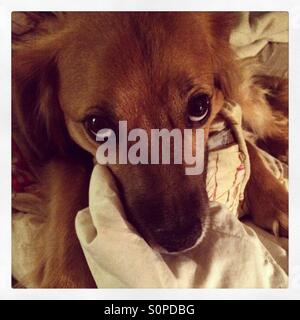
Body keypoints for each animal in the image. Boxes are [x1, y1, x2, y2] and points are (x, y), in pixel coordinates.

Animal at [11, 11, 288, 288]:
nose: (182, 238)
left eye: (200, 106)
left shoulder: (219, 100)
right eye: (97, 126)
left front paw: (274, 197)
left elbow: (243, 138)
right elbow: (68, 195)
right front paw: (66, 278)